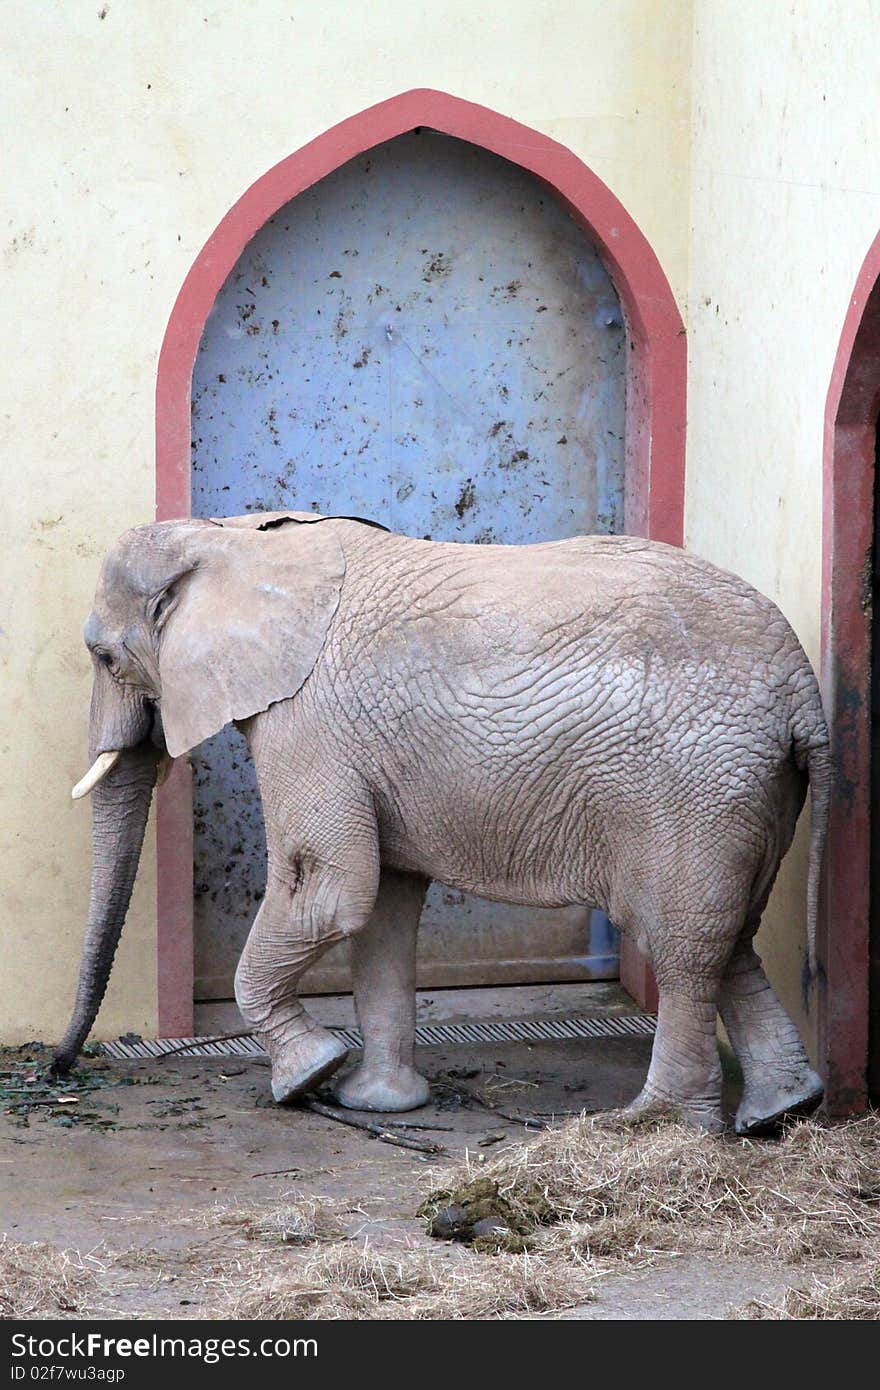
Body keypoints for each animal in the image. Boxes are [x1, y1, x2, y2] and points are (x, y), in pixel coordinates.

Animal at [56, 505, 828, 1134]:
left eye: (105, 657)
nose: (62, 1068)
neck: (233, 537)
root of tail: (804, 690)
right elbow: (382, 911)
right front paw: (376, 1105)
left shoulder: (307, 725)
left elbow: (331, 886)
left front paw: (306, 1077)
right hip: (747, 789)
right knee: (728, 935)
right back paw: (781, 1112)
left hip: (693, 788)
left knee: (680, 944)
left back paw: (655, 1127)